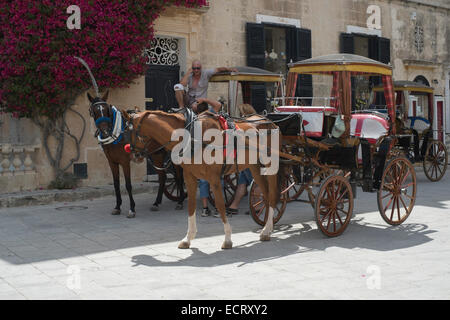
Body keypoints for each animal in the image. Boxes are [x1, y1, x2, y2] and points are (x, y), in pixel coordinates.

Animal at [121, 110, 280, 250]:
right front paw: (188, 239)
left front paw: (227, 239)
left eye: (127, 131)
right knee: (265, 195)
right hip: (254, 166)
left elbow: (220, 206)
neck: (192, 136)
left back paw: (267, 229)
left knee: (272, 195)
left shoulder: (214, 178)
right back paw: (267, 228)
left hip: (270, 165)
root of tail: (270, 122)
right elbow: (191, 206)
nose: (134, 155)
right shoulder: (189, 177)